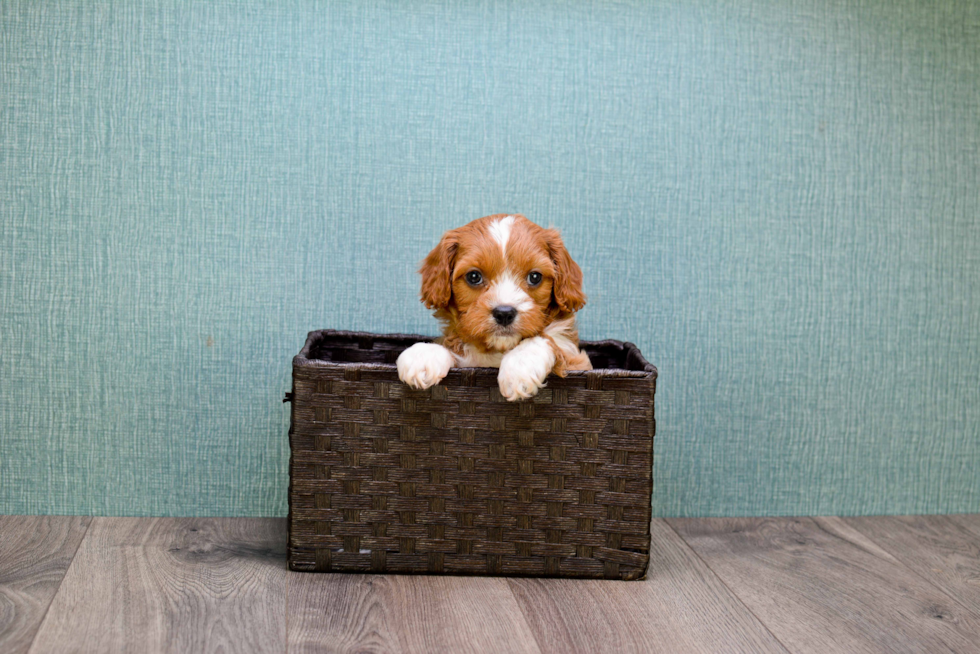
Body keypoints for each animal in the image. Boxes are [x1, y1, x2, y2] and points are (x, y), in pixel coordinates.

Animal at [396, 215, 588, 402]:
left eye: (535, 277)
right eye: (474, 276)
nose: (504, 313)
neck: (497, 350)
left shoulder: (578, 361)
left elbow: (546, 340)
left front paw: (519, 366)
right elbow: (450, 348)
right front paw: (423, 355)